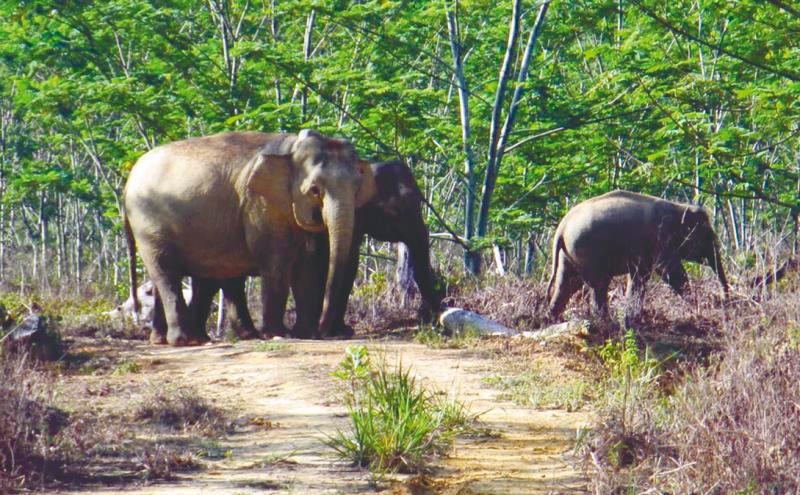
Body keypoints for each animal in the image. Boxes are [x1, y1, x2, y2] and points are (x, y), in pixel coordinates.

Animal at [123, 130, 375, 346]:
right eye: (315, 190)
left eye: (357, 187)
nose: (326, 330)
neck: (291, 148)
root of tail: (128, 181)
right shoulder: (260, 204)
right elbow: (277, 263)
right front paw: (278, 334)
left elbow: (307, 266)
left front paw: (306, 334)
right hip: (148, 225)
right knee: (166, 274)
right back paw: (186, 340)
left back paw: (175, 339)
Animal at [546, 190, 729, 326]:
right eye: (707, 236)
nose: (723, 300)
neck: (679, 207)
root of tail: (562, 228)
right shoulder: (661, 240)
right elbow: (670, 272)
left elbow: (638, 277)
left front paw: (632, 317)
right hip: (588, 251)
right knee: (598, 286)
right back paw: (607, 322)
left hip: (568, 255)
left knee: (567, 284)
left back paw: (553, 319)